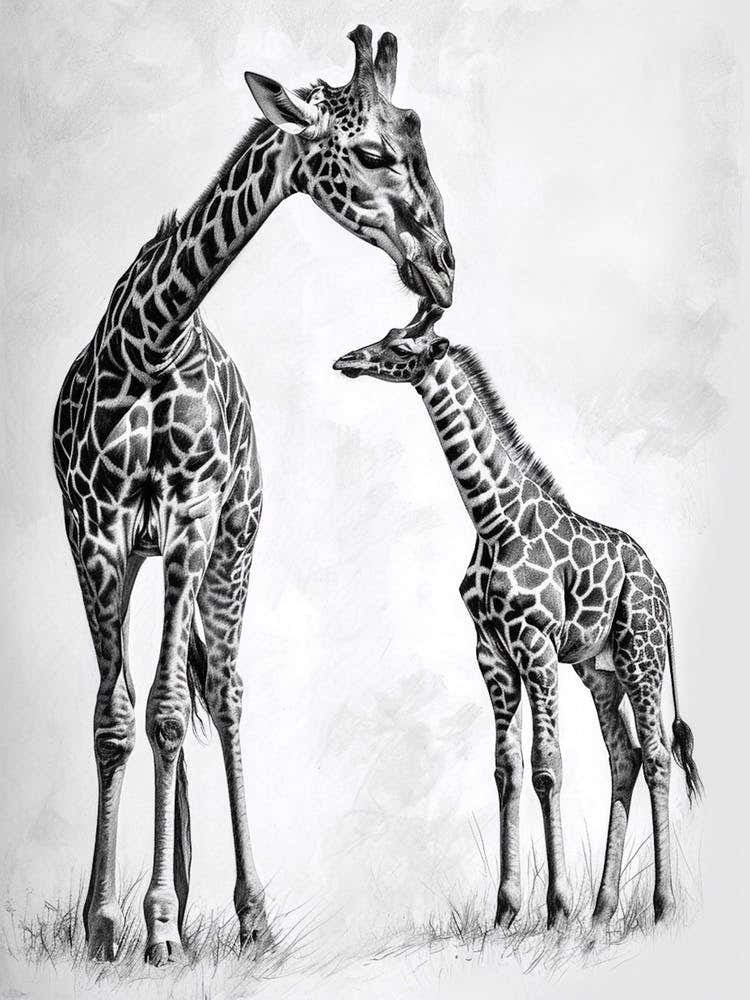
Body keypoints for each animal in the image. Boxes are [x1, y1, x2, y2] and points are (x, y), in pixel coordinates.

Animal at [53, 26, 454, 966]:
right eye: (374, 151)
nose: (444, 270)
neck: (149, 338)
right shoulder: (96, 531)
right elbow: (114, 718)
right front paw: (103, 923)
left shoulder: (193, 524)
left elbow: (168, 713)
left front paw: (163, 927)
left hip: (235, 547)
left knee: (229, 695)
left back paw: (250, 916)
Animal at [334, 305, 702, 931]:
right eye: (386, 334)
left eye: (403, 345)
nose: (347, 360)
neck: (493, 519)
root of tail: (663, 589)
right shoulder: (493, 653)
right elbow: (506, 766)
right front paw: (506, 911)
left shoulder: (536, 647)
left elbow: (546, 765)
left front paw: (555, 908)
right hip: (600, 672)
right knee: (624, 757)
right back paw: (602, 911)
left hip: (642, 656)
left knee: (655, 756)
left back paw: (661, 907)